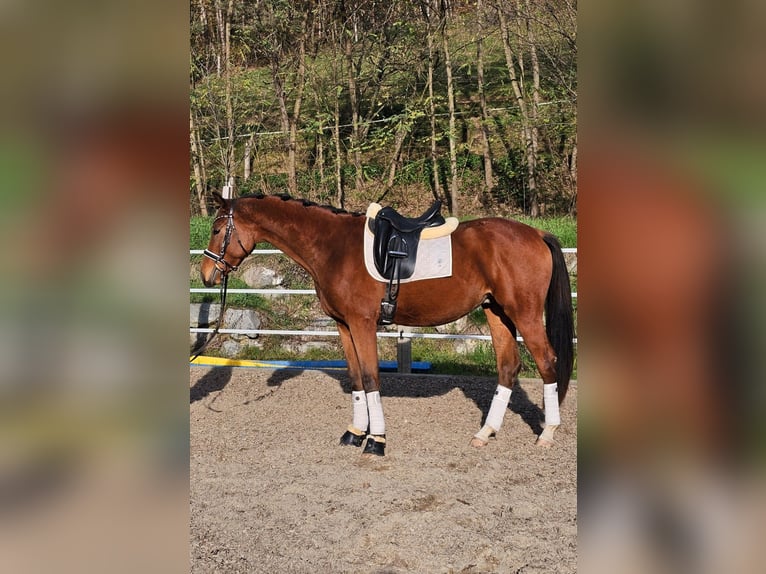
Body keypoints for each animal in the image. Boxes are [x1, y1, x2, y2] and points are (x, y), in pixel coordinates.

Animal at [201, 194, 572, 460]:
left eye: (218, 230)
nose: (206, 275)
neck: (332, 247)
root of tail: (536, 233)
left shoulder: (362, 323)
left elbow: (370, 378)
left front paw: (376, 440)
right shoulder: (343, 325)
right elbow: (356, 378)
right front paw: (354, 433)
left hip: (524, 314)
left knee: (547, 363)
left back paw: (547, 433)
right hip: (496, 312)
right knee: (508, 367)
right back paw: (485, 433)